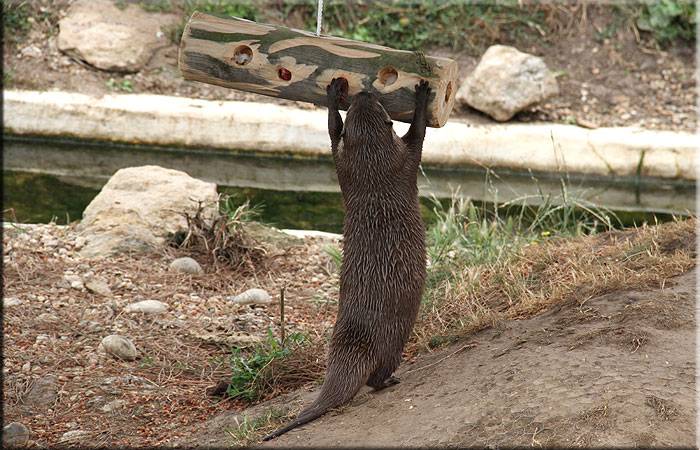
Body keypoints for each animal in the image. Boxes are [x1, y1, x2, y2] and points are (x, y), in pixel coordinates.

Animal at [263, 78, 430, 441]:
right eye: (377, 104)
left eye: (358, 103)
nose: (364, 92)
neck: (372, 170)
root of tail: (357, 342)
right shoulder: (405, 158)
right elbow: (419, 132)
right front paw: (423, 94)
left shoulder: (341, 163)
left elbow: (331, 132)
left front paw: (332, 93)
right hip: (395, 338)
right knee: (377, 374)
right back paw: (390, 380)